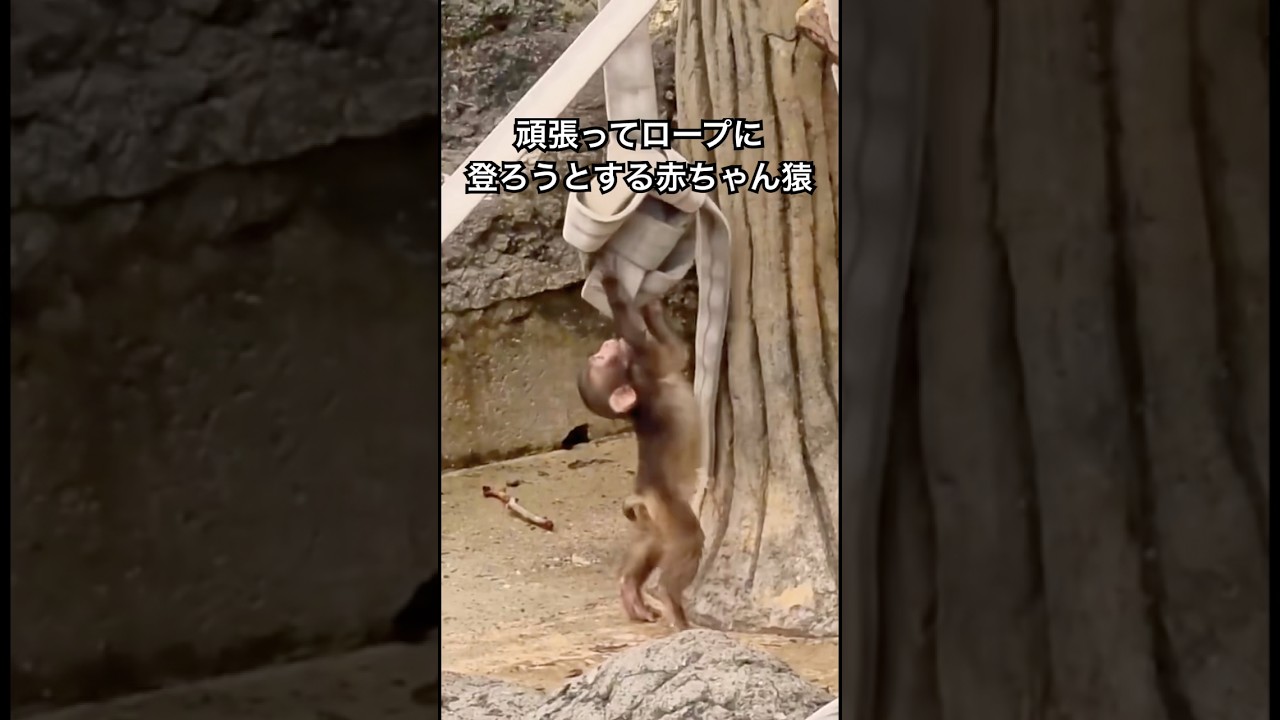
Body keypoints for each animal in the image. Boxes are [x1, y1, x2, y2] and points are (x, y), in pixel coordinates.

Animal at [577, 275, 704, 630]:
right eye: (602, 359)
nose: (608, 345)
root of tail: (644, 494)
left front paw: (648, 305)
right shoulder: (648, 367)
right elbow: (675, 353)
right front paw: (613, 286)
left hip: (653, 518)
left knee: (652, 544)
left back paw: (630, 589)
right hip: (671, 509)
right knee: (689, 540)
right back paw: (669, 598)